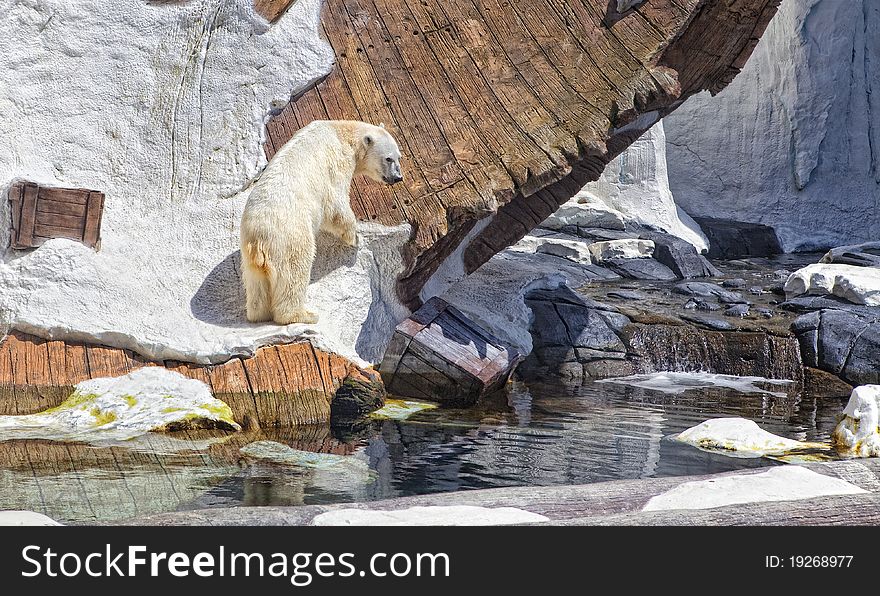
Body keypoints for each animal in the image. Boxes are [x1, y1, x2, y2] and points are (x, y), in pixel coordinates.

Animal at [241, 118, 406, 324]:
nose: (398, 177)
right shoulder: (337, 162)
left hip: (249, 255)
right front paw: (355, 237)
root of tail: (258, 240)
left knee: (256, 285)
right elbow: (336, 204)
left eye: (399, 157)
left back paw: (258, 315)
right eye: (388, 158)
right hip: (289, 237)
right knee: (295, 269)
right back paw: (303, 315)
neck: (342, 131)